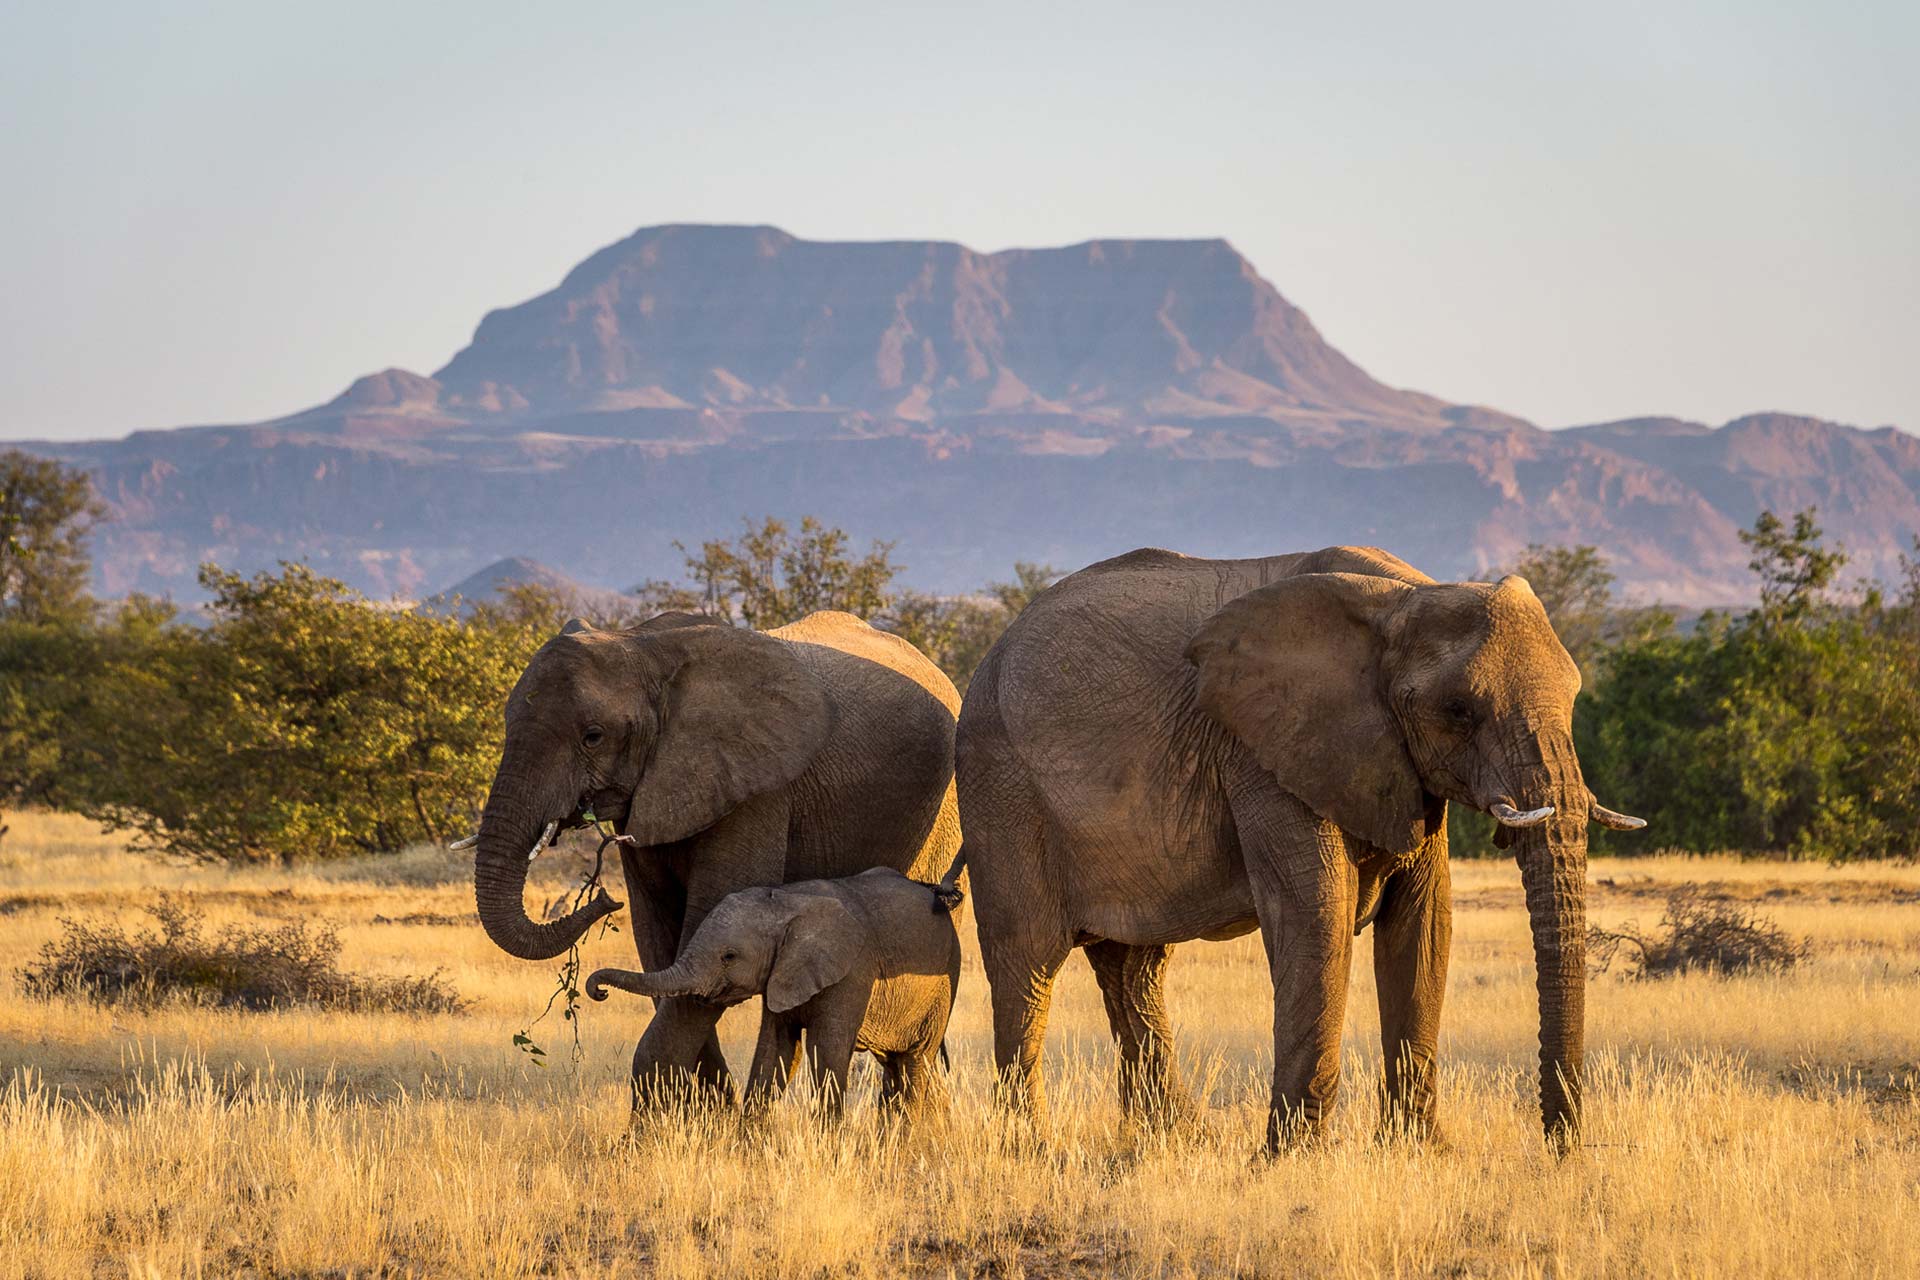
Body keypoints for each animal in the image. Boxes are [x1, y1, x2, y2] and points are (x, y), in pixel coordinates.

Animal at [585, 866, 964, 1121]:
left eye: (729, 956)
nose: (598, 990)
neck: (787, 903)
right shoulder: (781, 972)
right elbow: (776, 1048)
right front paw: (747, 1150)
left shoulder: (854, 971)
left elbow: (826, 1049)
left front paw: (829, 1151)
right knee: (895, 1064)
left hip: (946, 978)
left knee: (916, 1060)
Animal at [953, 545, 1644, 1151]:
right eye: (1457, 709)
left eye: (1576, 697)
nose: (1561, 1149)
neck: (1403, 598)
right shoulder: (1263, 752)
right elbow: (1318, 914)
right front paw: (1290, 1160)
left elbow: (1423, 927)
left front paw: (1420, 1153)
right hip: (1002, 788)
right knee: (1027, 963)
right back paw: (1031, 1150)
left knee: (1133, 968)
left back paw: (1177, 1142)